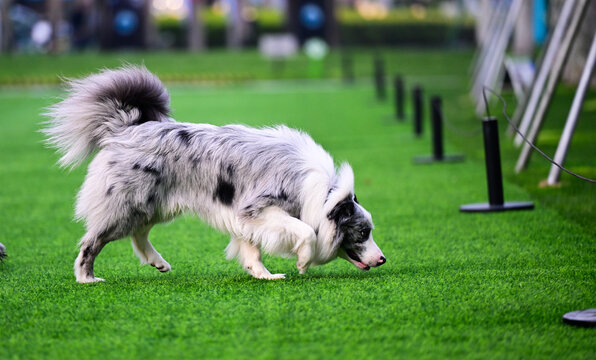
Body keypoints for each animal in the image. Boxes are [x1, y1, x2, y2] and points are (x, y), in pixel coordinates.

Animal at [43, 66, 386, 282]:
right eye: (362, 233)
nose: (383, 259)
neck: (323, 195)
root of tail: (126, 127)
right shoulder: (258, 209)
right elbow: (306, 231)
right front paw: (302, 262)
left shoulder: (245, 217)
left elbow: (252, 250)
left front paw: (265, 276)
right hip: (124, 207)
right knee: (91, 242)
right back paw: (86, 279)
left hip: (155, 205)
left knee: (139, 235)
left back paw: (158, 262)